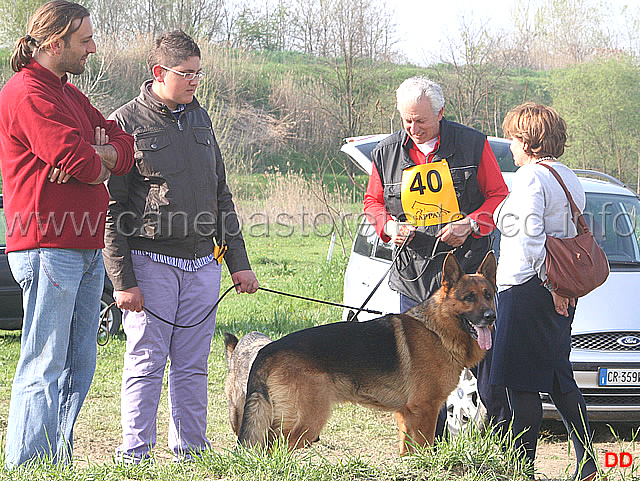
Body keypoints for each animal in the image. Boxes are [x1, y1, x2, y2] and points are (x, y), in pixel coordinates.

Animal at [238, 251, 498, 454]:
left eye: (488, 295)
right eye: (468, 298)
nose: (491, 317)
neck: (437, 329)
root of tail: (269, 349)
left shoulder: (406, 414)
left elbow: (408, 450)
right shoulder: (426, 409)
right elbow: (425, 446)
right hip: (307, 420)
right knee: (274, 450)